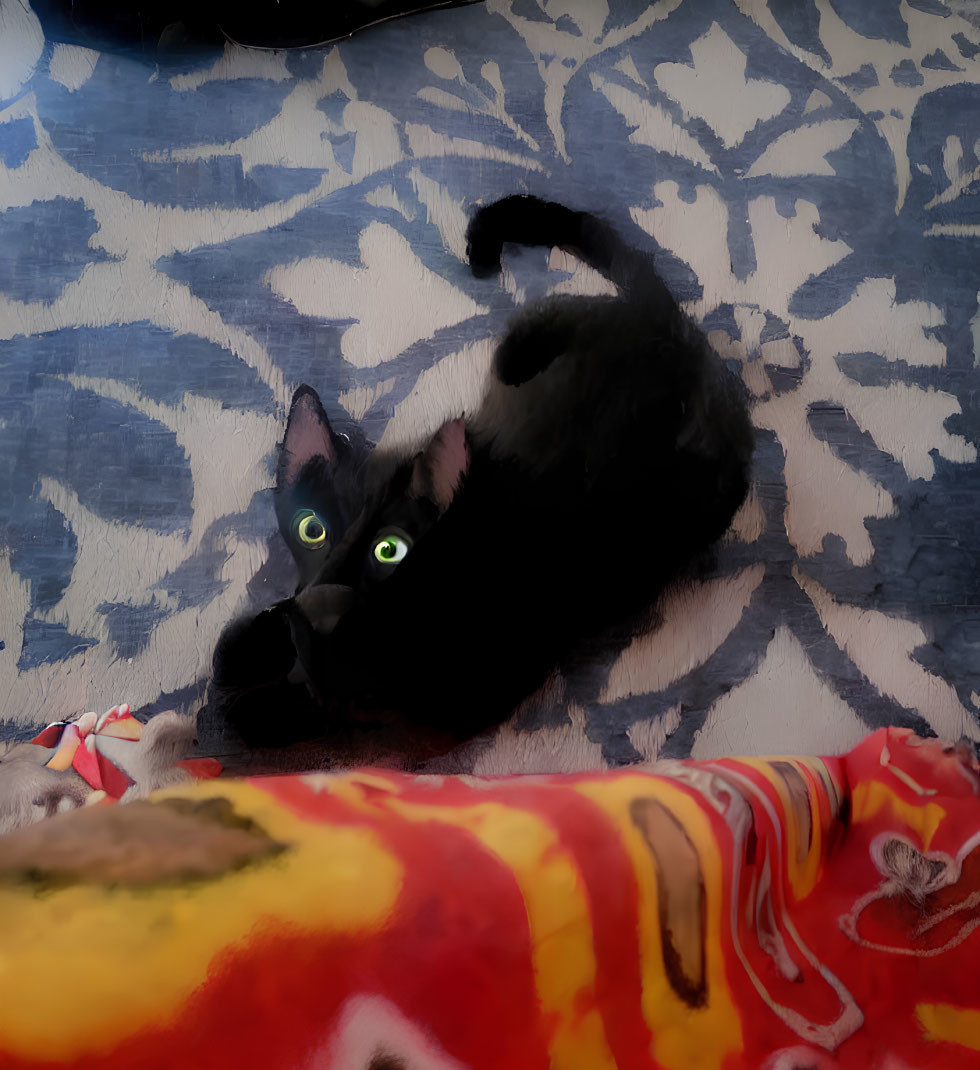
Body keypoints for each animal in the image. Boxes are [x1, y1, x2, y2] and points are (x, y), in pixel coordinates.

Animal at [206, 192, 753, 761]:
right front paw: (263, 638)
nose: (321, 597)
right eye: (313, 529)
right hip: (524, 336)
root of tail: (671, 326)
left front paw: (254, 704)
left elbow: (321, 709)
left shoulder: (445, 714)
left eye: (389, 550)